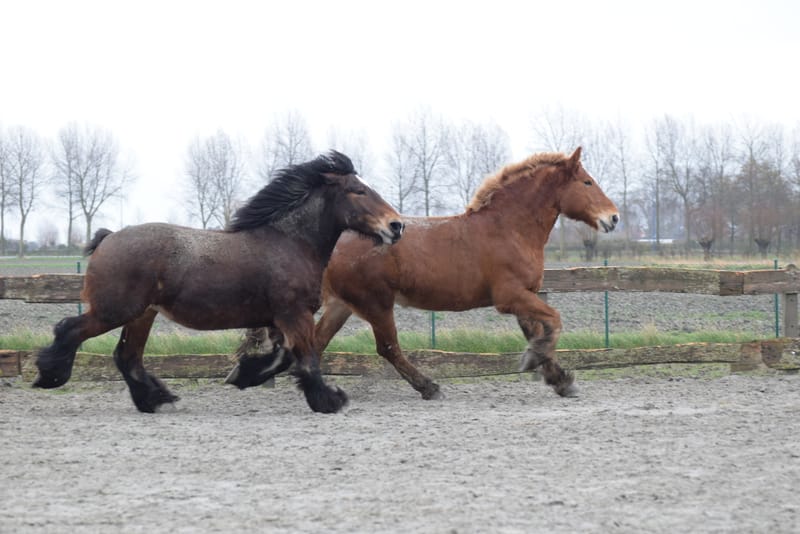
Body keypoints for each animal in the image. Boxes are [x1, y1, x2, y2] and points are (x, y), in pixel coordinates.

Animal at [33, 151, 404, 414]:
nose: (396, 225)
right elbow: (307, 358)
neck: (289, 243)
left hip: (142, 314)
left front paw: (244, 374)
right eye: (358, 190)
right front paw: (330, 400)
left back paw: (156, 399)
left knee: (127, 356)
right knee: (70, 330)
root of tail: (107, 238)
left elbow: (283, 357)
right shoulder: (293, 314)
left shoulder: (279, 319)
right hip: (115, 311)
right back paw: (49, 376)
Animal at [230, 147, 619, 400]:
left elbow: (539, 330)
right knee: (387, 348)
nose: (613, 218)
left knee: (317, 343)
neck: (508, 228)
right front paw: (536, 362)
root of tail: (331, 243)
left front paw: (559, 379)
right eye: (587, 182)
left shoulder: (524, 297)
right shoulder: (510, 297)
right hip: (376, 303)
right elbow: (553, 322)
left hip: (344, 305)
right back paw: (429, 387)